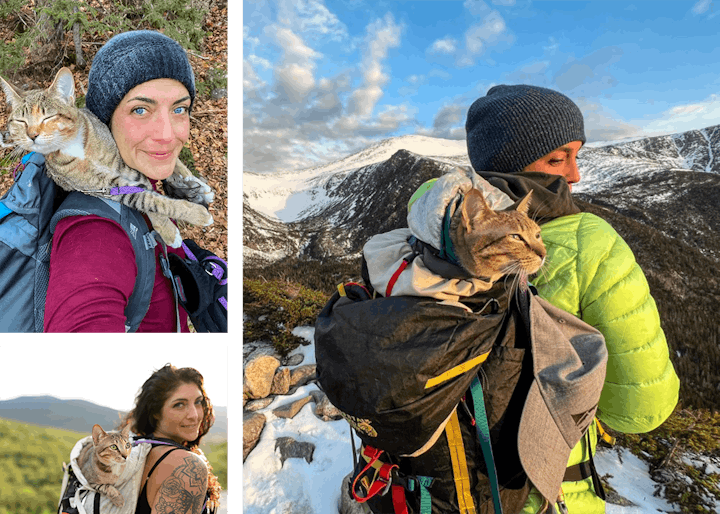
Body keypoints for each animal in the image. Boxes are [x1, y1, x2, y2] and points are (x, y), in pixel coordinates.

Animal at [0, 65, 212, 246]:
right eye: (20, 121)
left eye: (48, 117)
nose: (32, 135)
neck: (76, 147)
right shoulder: (107, 187)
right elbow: (150, 200)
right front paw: (183, 222)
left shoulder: (123, 164)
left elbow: (151, 193)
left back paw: (194, 182)